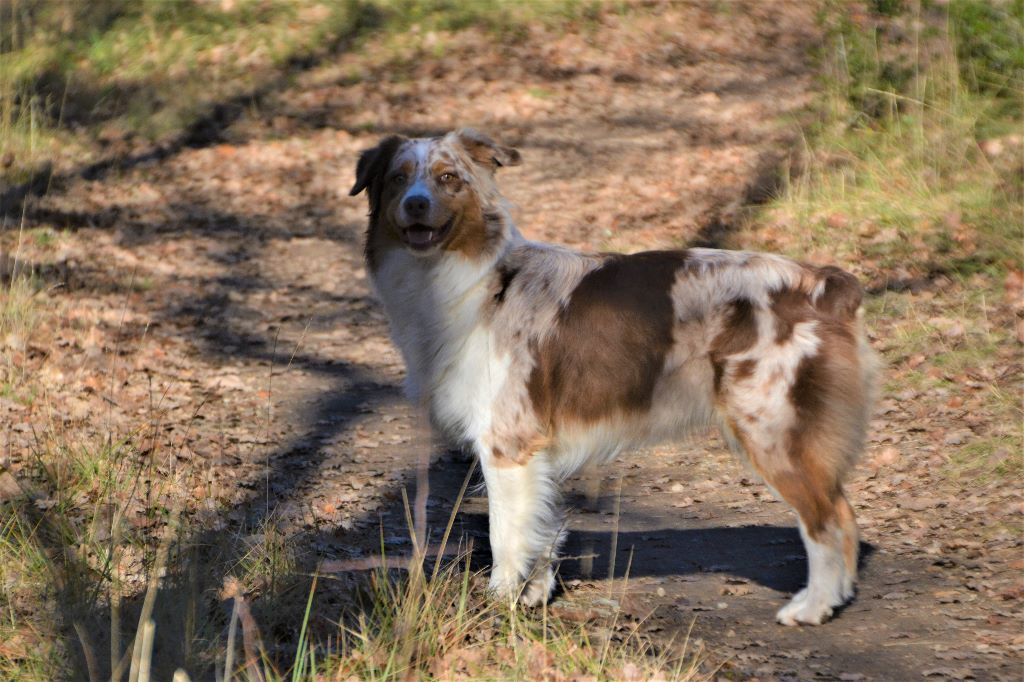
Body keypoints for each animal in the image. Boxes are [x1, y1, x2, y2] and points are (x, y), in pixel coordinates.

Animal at [352, 129, 880, 626]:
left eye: (448, 178)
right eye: (398, 178)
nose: (416, 204)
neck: (475, 282)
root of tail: (823, 282)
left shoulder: (507, 441)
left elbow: (505, 535)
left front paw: (498, 604)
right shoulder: (535, 450)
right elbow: (542, 528)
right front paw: (533, 597)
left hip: (772, 429)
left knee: (827, 520)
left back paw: (814, 606)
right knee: (845, 514)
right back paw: (836, 598)